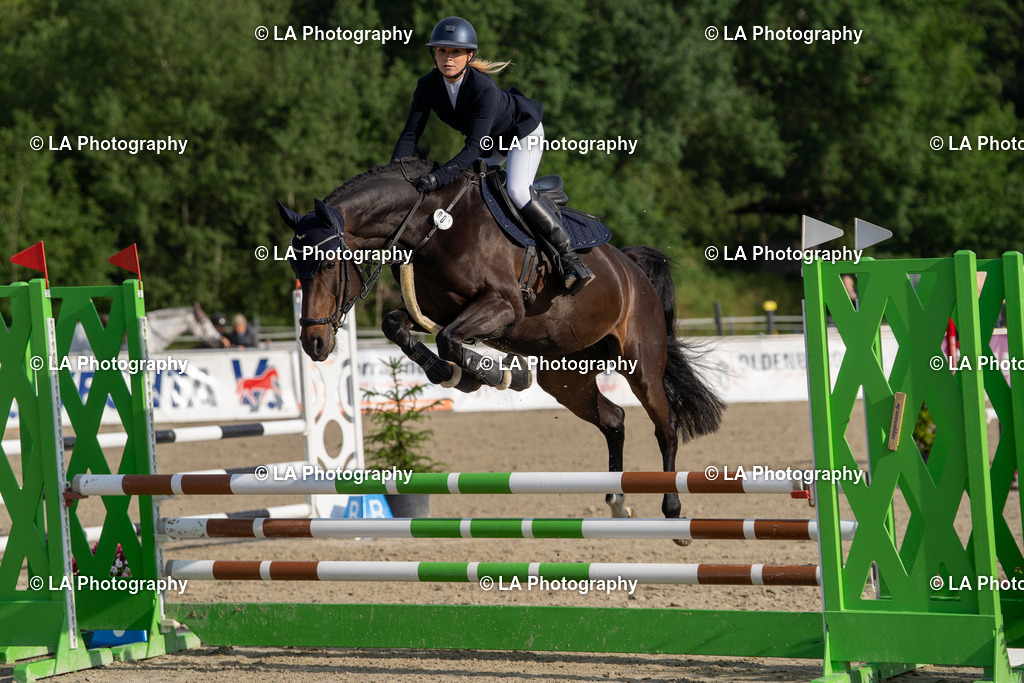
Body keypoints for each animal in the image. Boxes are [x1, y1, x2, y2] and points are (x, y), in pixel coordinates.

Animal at [277, 158, 724, 529]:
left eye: (328, 264)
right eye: (295, 264)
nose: (314, 343)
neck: (432, 225)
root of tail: (633, 269)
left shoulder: (502, 305)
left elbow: (450, 339)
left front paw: (494, 376)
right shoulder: (436, 309)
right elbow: (399, 327)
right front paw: (455, 374)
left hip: (641, 364)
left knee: (666, 426)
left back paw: (672, 509)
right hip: (566, 377)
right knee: (614, 419)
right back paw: (617, 503)